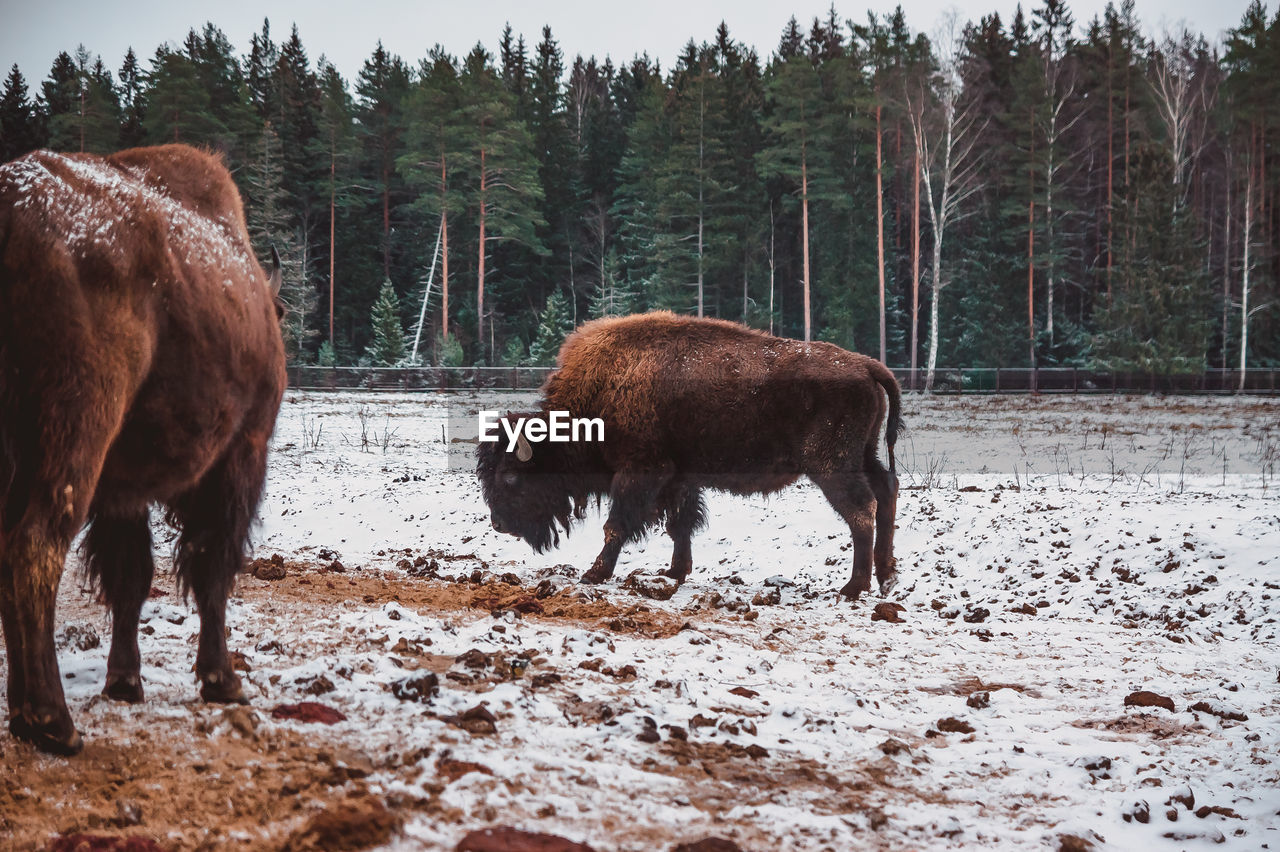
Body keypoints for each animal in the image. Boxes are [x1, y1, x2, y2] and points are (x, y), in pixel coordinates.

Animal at [0, 144, 285, 752]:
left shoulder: (121, 491)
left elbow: (130, 578)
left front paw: (124, 682)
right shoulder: (241, 456)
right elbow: (212, 566)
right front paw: (223, 680)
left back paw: (24, 712)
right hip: (75, 431)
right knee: (35, 545)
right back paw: (53, 722)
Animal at [476, 310, 906, 596]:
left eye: (510, 476)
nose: (498, 523)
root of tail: (866, 365)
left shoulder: (640, 472)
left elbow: (618, 524)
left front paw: (594, 574)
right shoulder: (678, 477)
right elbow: (679, 525)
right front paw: (675, 573)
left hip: (832, 465)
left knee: (861, 510)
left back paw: (854, 586)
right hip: (864, 454)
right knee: (886, 493)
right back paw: (886, 576)